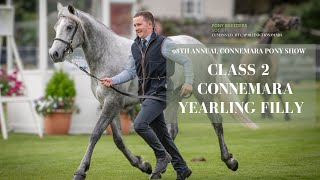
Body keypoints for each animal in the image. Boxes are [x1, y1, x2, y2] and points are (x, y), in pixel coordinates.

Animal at [48, 3, 256, 180]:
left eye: (69, 27)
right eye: (56, 27)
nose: (54, 54)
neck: (107, 55)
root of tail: (199, 45)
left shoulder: (112, 103)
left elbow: (95, 134)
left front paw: (80, 171)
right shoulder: (110, 104)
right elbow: (118, 139)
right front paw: (143, 164)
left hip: (203, 94)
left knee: (217, 123)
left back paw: (229, 160)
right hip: (172, 100)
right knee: (171, 131)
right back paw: (166, 165)